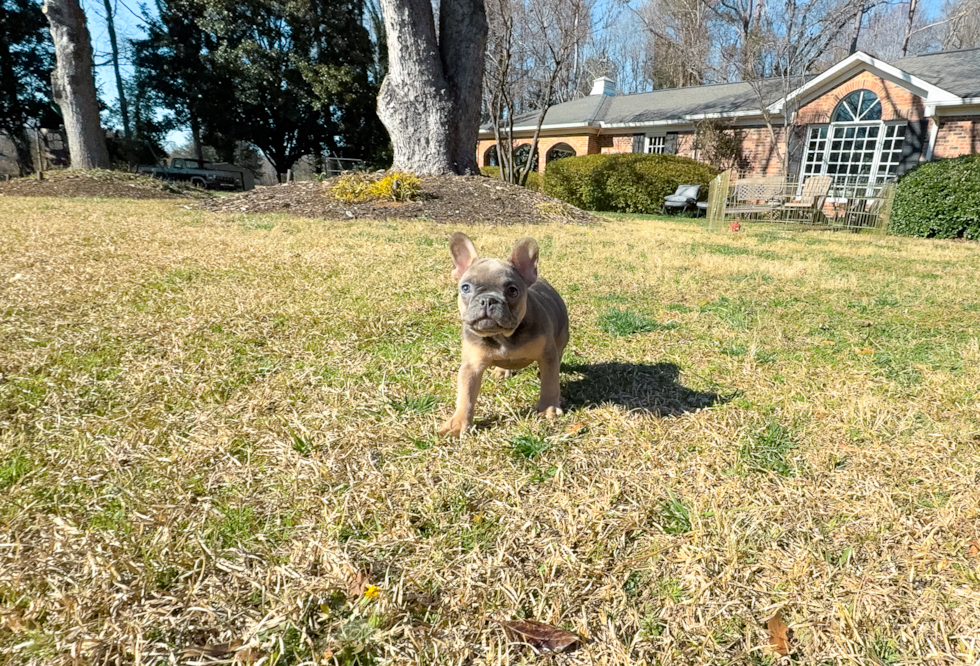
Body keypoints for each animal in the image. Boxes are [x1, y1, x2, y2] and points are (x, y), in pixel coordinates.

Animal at [440, 231, 572, 438]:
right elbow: (466, 395)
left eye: (512, 291)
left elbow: (550, 382)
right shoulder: (471, 366)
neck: (502, 335)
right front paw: (459, 423)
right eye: (465, 288)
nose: (488, 300)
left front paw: (548, 407)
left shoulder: (547, 355)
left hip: (560, 339)